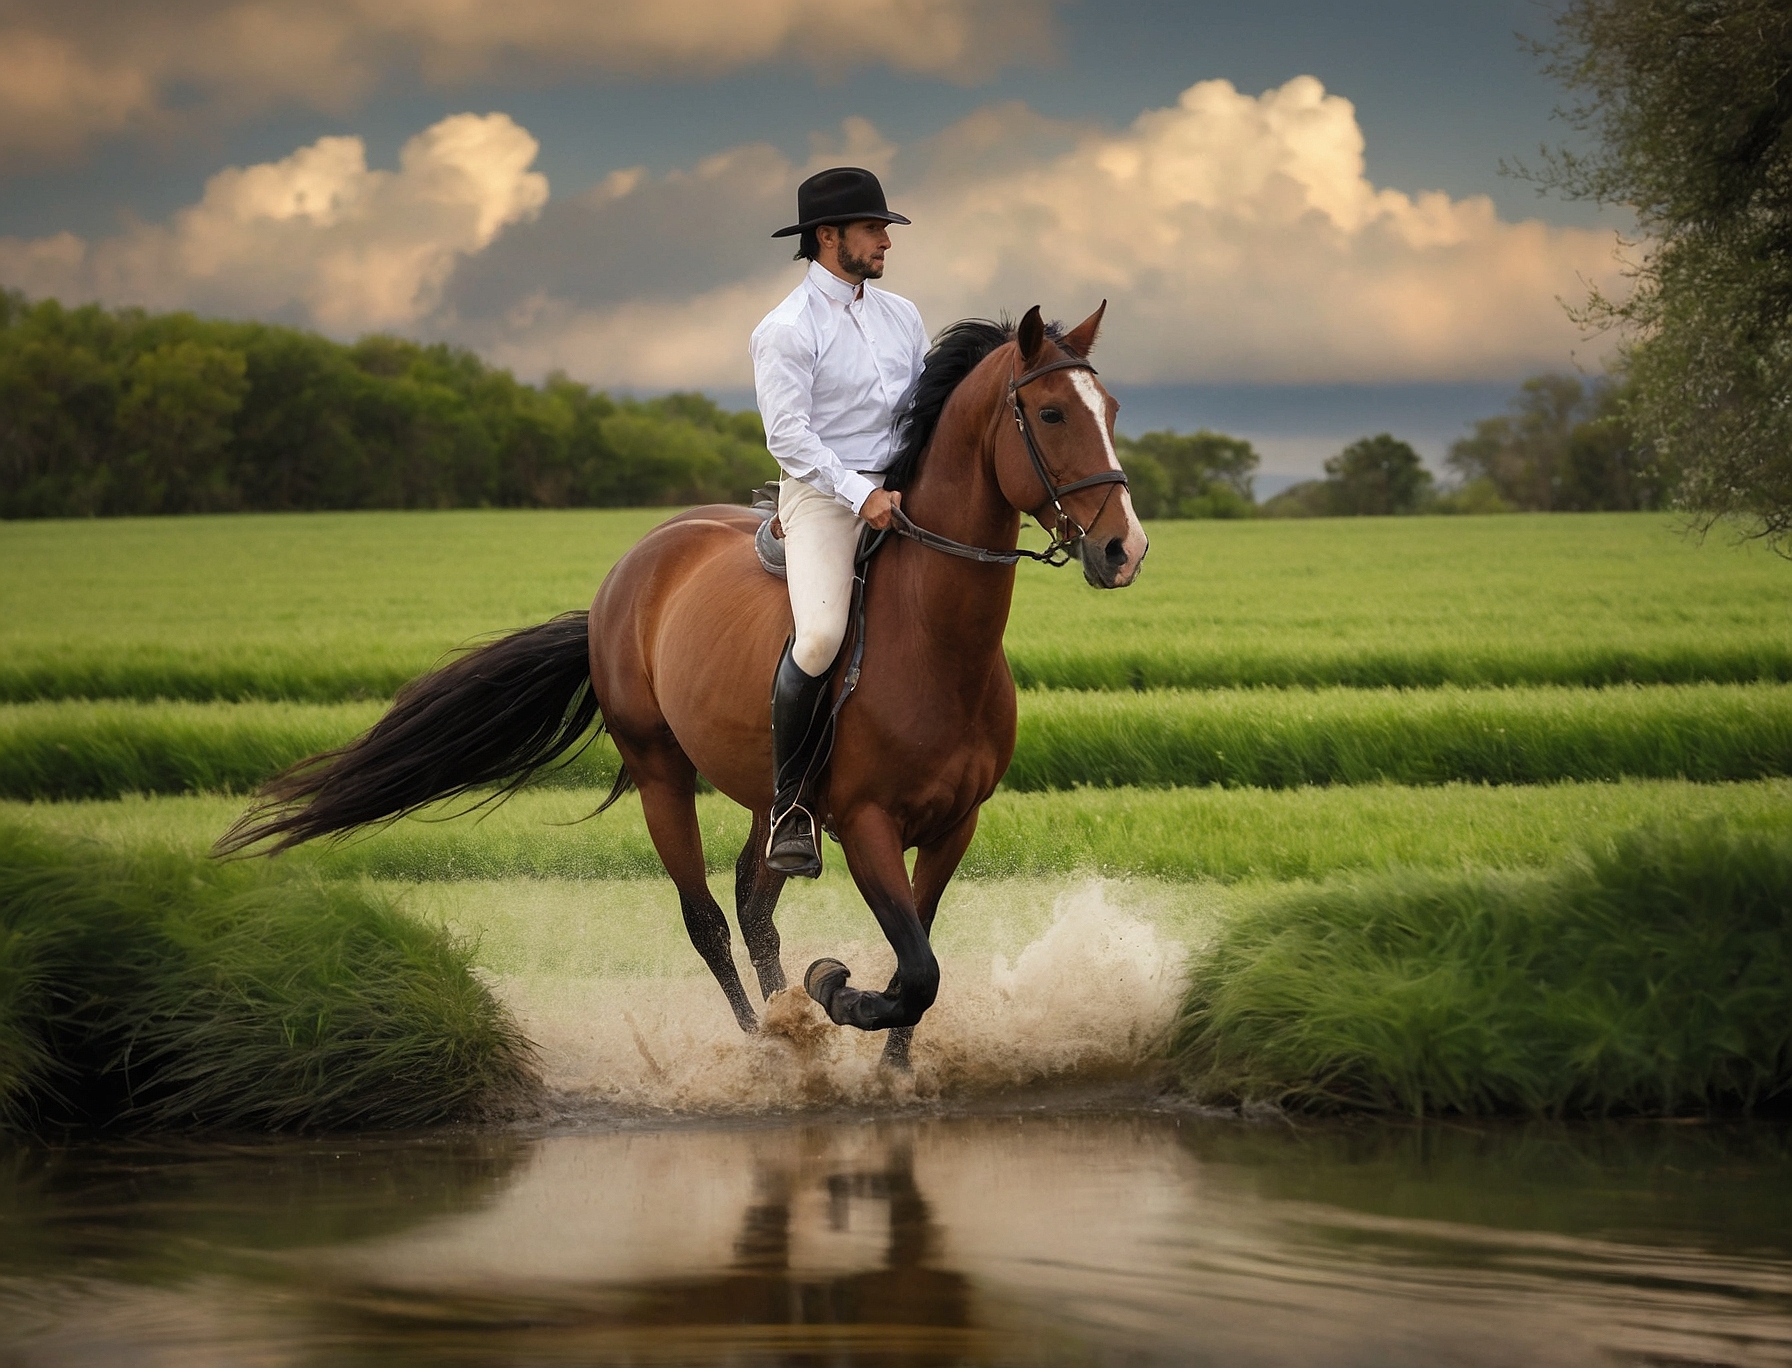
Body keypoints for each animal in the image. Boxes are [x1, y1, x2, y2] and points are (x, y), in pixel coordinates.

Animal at [218, 302, 1148, 1066]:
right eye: (1052, 412)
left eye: (1111, 411)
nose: (1123, 550)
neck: (936, 642)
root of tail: (629, 569)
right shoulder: (867, 823)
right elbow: (912, 970)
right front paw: (832, 987)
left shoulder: (954, 824)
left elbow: (917, 965)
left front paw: (886, 1064)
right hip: (662, 770)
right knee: (706, 918)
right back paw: (765, 1041)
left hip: (777, 803)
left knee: (753, 902)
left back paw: (786, 1023)